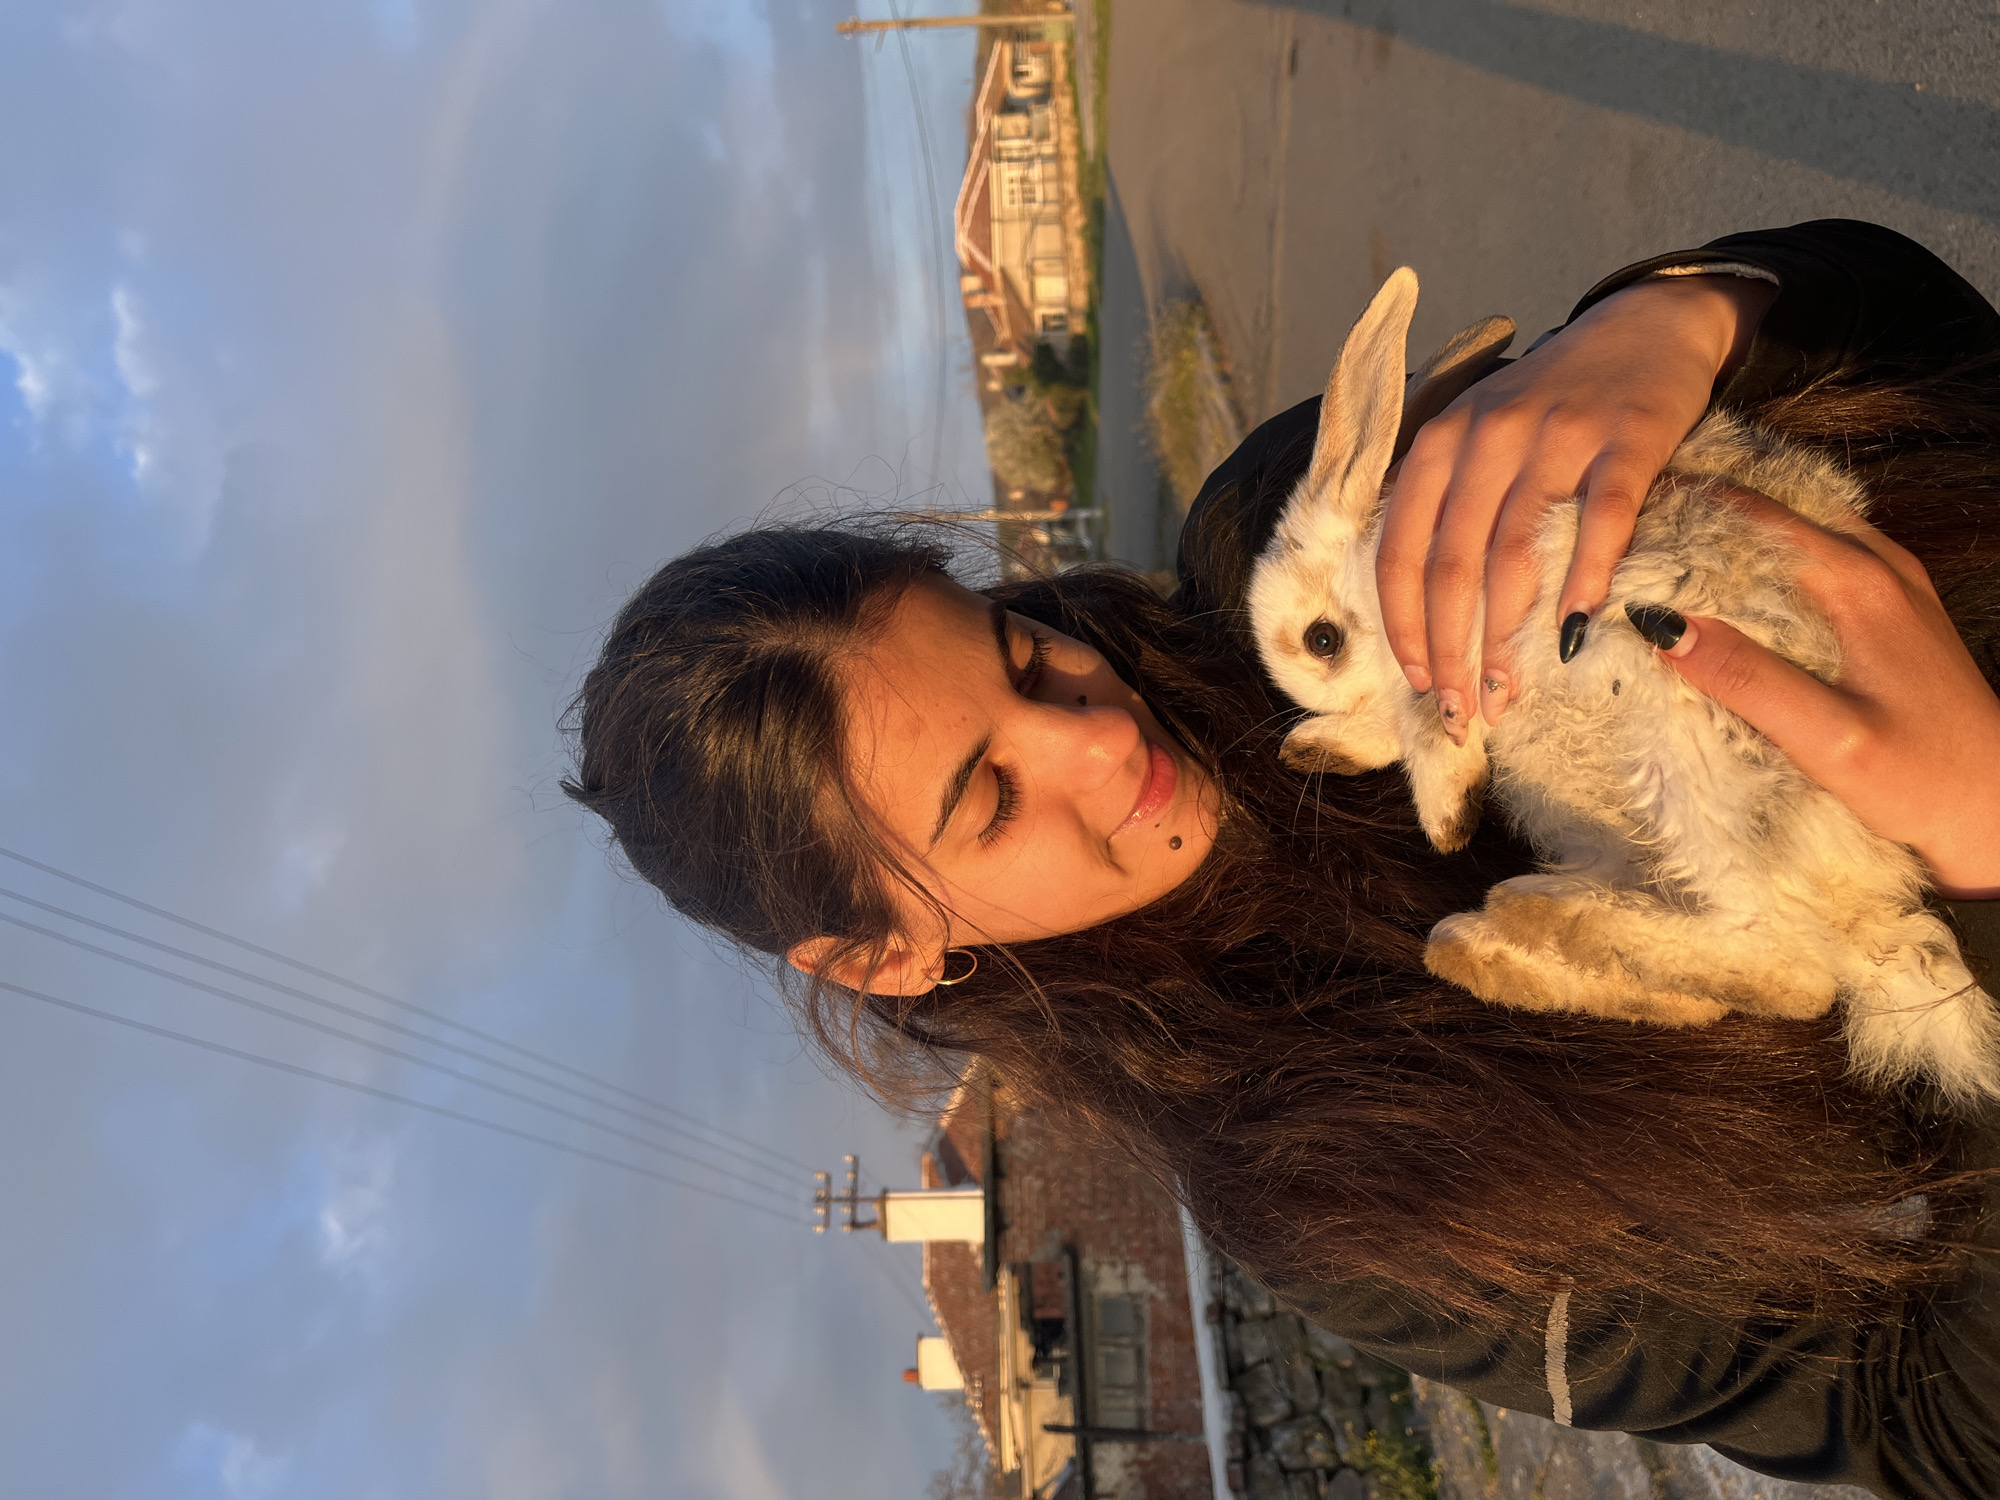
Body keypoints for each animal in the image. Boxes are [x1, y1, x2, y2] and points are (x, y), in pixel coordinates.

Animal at [1247, 266, 2000, 1105]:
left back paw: (1527, 915)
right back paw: (1492, 944)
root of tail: (1876, 922)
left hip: (1694, 753)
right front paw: (1324, 751)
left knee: (1790, 969)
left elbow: (1428, 713)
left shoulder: (1474, 611)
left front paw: (1447, 814)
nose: (1317, 735)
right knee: (1733, 988)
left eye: (1322, 639)